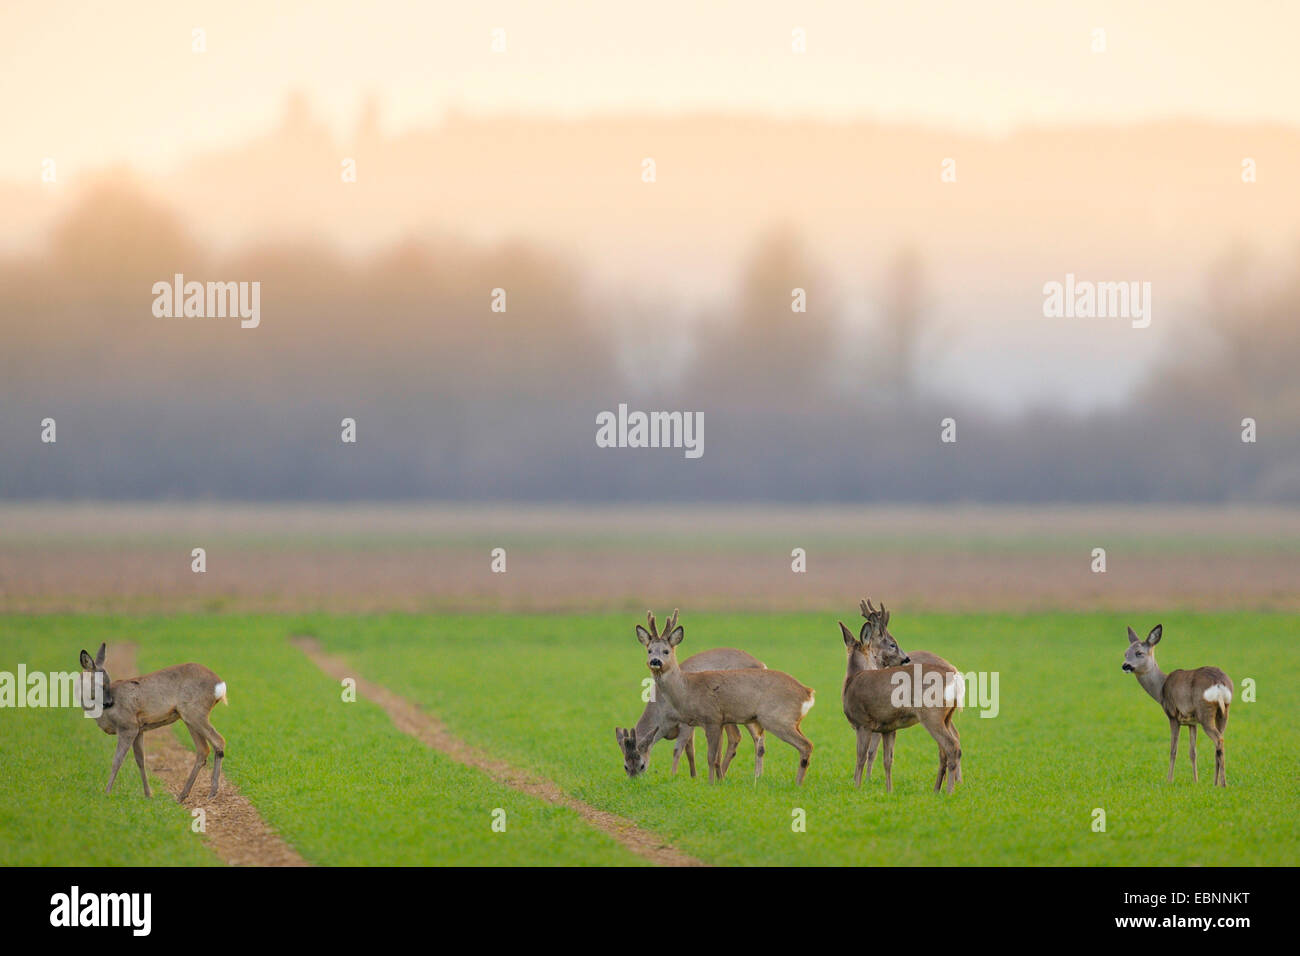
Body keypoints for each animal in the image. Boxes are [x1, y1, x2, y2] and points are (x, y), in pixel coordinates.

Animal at [77, 642, 228, 801]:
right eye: (99, 683)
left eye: (108, 681)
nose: (109, 702)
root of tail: (220, 685)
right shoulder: (139, 729)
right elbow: (140, 760)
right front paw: (148, 794)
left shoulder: (128, 726)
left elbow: (117, 760)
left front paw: (106, 793)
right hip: (188, 717)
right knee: (203, 749)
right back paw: (182, 795)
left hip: (195, 712)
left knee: (219, 741)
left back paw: (212, 792)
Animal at [616, 634, 764, 780]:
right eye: (625, 767)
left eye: (642, 765)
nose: (634, 781)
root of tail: (761, 665)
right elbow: (690, 750)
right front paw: (693, 776)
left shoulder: (685, 723)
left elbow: (677, 749)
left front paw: (672, 776)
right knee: (740, 736)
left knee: (752, 736)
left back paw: (753, 775)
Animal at [631, 613, 811, 785]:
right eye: (649, 650)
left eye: (666, 651)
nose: (655, 661)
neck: (688, 688)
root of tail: (808, 693)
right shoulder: (713, 721)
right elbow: (710, 755)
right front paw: (714, 779)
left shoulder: (712, 718)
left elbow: (709, 756)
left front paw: (710, 783)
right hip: (791, 722)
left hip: (776, 718)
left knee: (805, 745)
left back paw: (795, 783)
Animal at [837, 616, 961, 796]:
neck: (852, 679)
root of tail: (956, 679)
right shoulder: (888, 727)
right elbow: (888, 760)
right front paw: (889, 790)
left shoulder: (863, 723)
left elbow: (861, 757)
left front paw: (857, 787)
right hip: (946, 717)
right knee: (946, 750)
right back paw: (937, 790)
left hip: (932, 715)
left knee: (952, 746)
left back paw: (949, 791)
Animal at [1123, 624, 1232, 790]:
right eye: (1125, 653)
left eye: (1139, 653)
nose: (1125, 665)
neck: (1160, 689)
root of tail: (1220, 683)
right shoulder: (1192, 722)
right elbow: (1193, 752)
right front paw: (1196, 781)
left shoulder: (1173, 715)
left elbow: (1173, 750)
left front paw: (1169, 780)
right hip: (1223, 711)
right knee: (1220, 743)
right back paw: (1216, 783)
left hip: (1205, 712)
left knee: (1218, 739)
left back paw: (1223, 784)